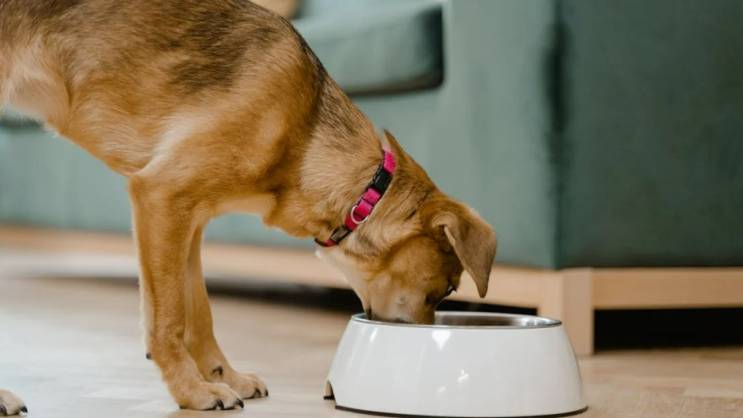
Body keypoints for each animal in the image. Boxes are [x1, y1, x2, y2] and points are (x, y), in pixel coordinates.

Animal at [0, 0, 496, 413]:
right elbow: (168, 319)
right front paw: (192, 392)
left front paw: (223, 376)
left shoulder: (188, 221)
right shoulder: (160, 195)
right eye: (446, 289)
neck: (305, 136)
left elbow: (198, 312)